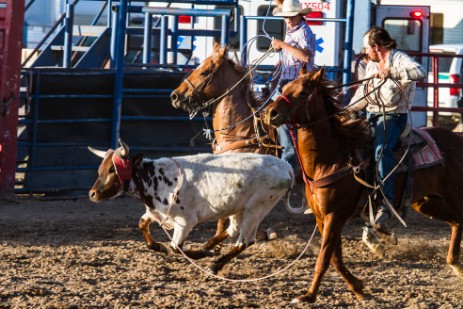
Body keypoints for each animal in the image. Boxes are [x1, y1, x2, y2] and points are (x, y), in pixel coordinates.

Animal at [262, 66, 463, 302]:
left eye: (303, 92)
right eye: (284, 89)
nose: (270, 113)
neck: (331, 159)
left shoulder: (335, 215)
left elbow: (323, 259)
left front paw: (308, 296)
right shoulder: (322, 217)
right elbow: (334, 258)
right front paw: (358, 288)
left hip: (454, 196)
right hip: (427, 202)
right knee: (457, 222)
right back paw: (455, 264)